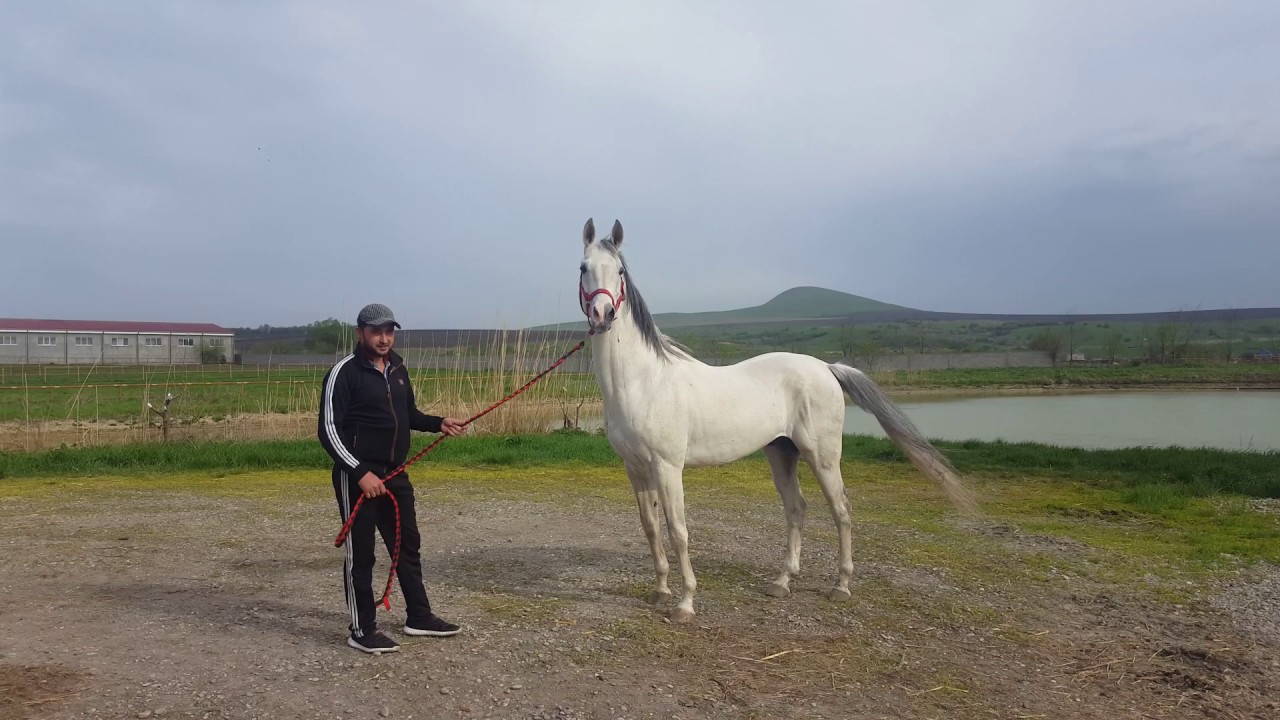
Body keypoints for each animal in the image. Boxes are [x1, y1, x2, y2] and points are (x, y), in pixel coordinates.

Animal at [576, 215, 972, 620]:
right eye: (583, 268)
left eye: (620, 271)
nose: (603, 315)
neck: (644, 382)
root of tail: (827, 368)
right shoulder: (636, 468)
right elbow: (651, 527)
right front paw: (660, 591)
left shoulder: (668, 467)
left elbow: (678, 531)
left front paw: (686, 602)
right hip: (782, 453)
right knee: (796, 508)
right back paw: (782, 582)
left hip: (822, 457)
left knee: (842, 510)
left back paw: (841, 586)